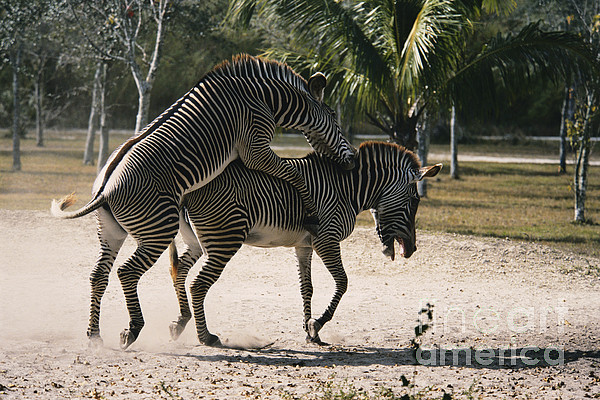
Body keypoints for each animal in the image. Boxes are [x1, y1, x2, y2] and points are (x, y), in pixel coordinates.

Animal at [50, 54, 356, 348]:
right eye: (333, 115)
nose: (352, 159)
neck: (264, 99)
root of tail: (106, 190)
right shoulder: (255, 149)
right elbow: (295, 174)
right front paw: (311, 210)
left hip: (111, 232)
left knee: (98, 275)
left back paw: (94, 335)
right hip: (158, 230)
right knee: (126, 272)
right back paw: (133, 329)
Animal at [168, 141, 440, 346]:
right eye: (415, 201)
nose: (412, 250)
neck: (347, 190)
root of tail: (187, 188)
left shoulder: (305, 245)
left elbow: (306, 287)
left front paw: (310, 333)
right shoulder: (326, 240)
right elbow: (343, 282)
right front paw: (317, 324)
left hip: (200, 241)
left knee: (180, 270)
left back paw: (180, 321)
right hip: (224, 239)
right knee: (198, 285)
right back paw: (205, 337)